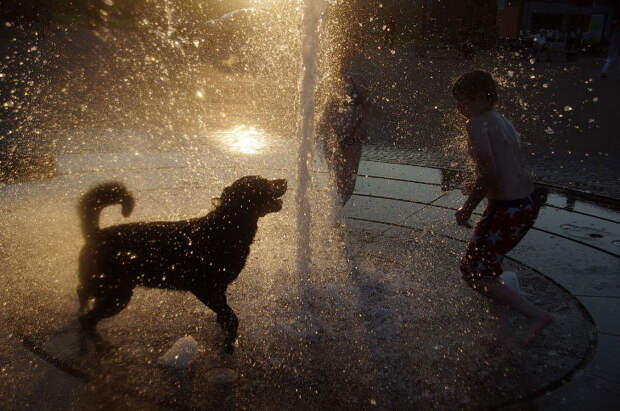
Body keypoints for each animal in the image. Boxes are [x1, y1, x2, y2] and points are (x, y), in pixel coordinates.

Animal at [76, 175, 286, 352]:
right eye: (263, 183)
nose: (284, 180)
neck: (226, 227)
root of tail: (95, 234)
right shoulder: (205, 289)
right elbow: (232, 317)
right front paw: (229, 343)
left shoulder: (219, 289)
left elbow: (225, 313)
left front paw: (224, 329)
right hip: (117, 294)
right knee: (87, 319)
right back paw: (100, 343)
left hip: (109, 289)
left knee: (83, 295)